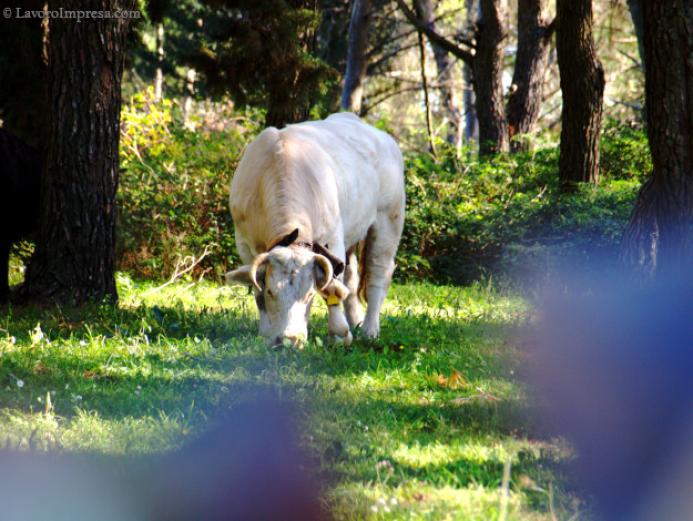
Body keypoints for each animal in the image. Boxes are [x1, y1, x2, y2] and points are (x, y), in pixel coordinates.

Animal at [224, 112, 402, 346]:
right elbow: (256, 289)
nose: (290, 339)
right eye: (271, 292)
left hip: (389, 219)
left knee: (377, 273)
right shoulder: (245, 243)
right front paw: (266, 332)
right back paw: (356, 319)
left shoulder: (333, 238)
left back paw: (370, 329)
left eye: (309, 294)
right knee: (352, 278)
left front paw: (339, 333)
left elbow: (332, 285)